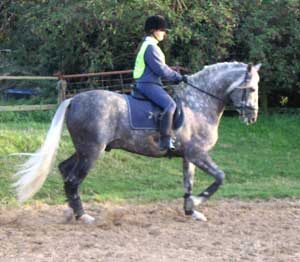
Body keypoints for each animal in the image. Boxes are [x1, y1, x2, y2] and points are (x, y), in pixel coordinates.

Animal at [14, 62, 260, 223]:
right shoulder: (198, 154)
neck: (198, 103)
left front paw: (191, 210)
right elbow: (219, 177)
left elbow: (188, 184)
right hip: (92, 151)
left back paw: (71, 211)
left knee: (65, 170)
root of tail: (74, 99)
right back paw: (83, 216)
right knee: (73, 180)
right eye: (252, 88)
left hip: (83, 149)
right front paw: (197, 204)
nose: (252, 117)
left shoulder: (188, 156)